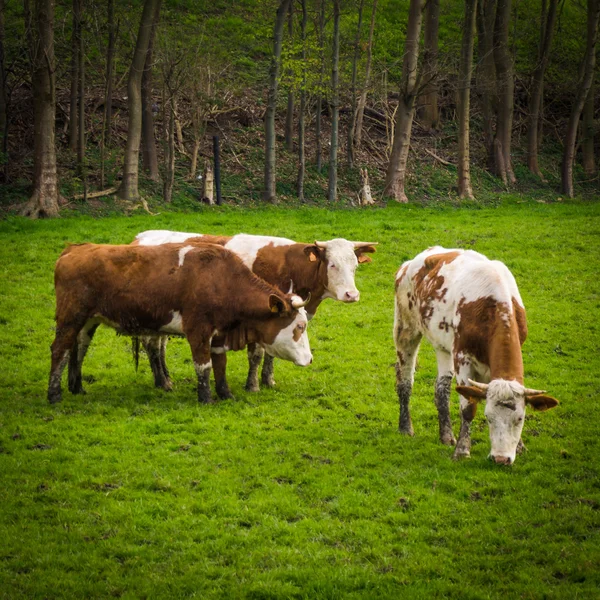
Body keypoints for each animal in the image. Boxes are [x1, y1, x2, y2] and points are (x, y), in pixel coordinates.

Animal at [48, 241, 312, 406]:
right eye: (300, 327)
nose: (310, 359)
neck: (222, 280)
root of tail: (75, 249)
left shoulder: (219, 335)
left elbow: (220, 364)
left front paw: (225, 394)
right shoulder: (198, 330)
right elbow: (203, 366)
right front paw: (206, 398)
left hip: (88, 321)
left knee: (78, 349)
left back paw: (77, 388)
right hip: (70, 317)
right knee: (60, 350)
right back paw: (55, 395)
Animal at [134, 232, 378, 396]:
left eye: (355, 266)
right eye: (332, 264)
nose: (351, 294)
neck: (291, 268)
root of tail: (140, 238)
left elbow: (271, 354)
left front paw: (268, 380)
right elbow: (257, 354)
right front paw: (253, 385)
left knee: (160, 345)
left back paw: (165, 378)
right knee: (152, 346)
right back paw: (162, 381)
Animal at [394, 246, 556, 466]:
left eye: (520, 419)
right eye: (488, 417)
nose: (501, 459)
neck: (496, 306)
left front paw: (520, 447)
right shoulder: (463, 358)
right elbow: (468, 408)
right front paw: (462, 450)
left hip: (443, 346)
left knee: (442, 388)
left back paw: (446, 435)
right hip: (406, 328)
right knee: (405, 380)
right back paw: (405, 427)